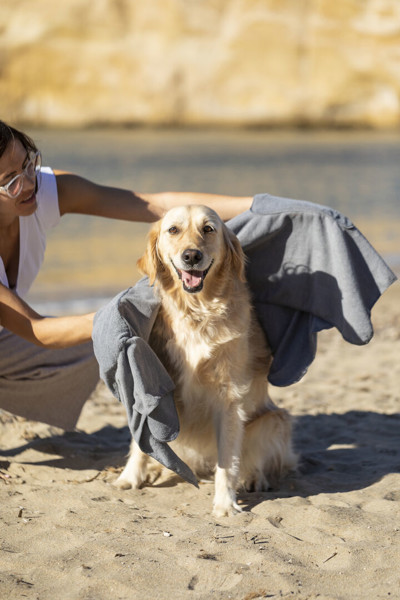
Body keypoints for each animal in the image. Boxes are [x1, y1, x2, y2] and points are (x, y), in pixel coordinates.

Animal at [114, 205, 296, 516]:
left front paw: (225, 503)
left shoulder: (229, 397)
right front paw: (130, 477)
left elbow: (228, 461)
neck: (196, 312)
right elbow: (140, 441)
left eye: (208, 229)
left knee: (254, 457)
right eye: (173, 230)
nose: (191, 256)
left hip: (273, 421)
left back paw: (253, 478)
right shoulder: (151, 387)